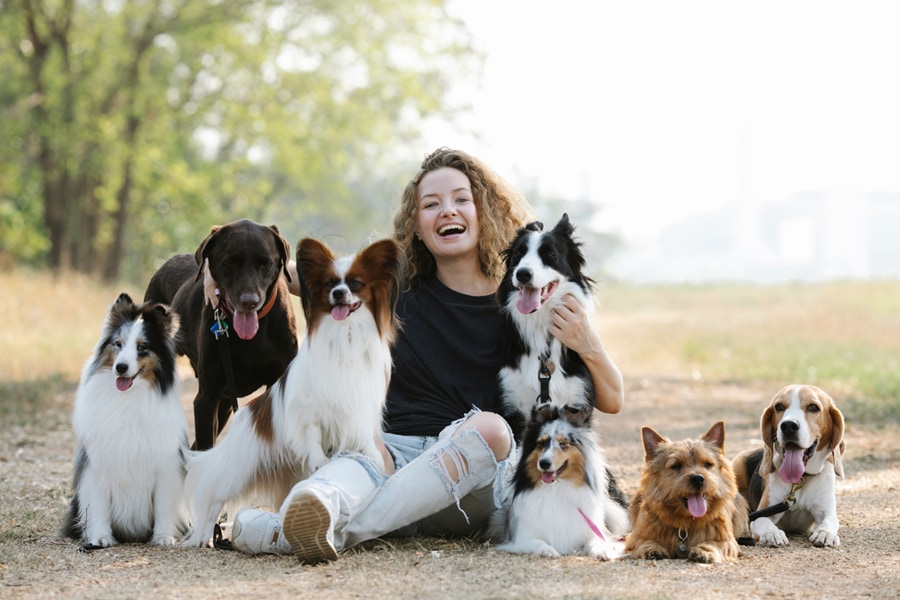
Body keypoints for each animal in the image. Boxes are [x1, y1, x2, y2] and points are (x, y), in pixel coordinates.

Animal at [60, 292, 191, 552]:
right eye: (118, 344)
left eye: (142, 347)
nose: (120, 367)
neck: (129, 398)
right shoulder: (97, 465)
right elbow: (99, 505)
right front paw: (100, 538)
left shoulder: (166, 466)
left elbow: (163, 504)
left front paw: (163, 537)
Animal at [183, 237, 400, 548]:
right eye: (329, 284)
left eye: (356, 283)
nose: (338, 293)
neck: (345, 334)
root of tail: (244, 414)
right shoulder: (308, 411)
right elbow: (313, 435)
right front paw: (320, 460)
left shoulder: (359, 403)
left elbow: (363, 435)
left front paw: (371, 455)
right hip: (238, 470)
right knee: (213, 497)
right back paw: (203, 537)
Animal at [488, 404, 628, 556]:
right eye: (540, 443)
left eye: (563, 443)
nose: (544, 463)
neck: (556, 488)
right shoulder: (522, 538)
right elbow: (538, 543)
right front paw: (548, 550)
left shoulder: (590, 530)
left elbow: (595, 541)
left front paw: (602, 550)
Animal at [624, 422, 744, 564]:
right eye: (676, 465)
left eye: (708, 464)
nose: (698, 478)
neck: (686, 523)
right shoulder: (636, 537)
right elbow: (643, 541)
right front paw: (652, 548)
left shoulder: (727, 540)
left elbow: (716, 544)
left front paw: (704, 551)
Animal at [736, 384, 848, 548]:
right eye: (779, 407)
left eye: (813, 407)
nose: (788, 425)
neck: (800, 480)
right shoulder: (763, 513)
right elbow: (763, 522)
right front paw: (772, 533)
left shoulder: (825, 511)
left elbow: (830, 521)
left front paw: (825, 533)